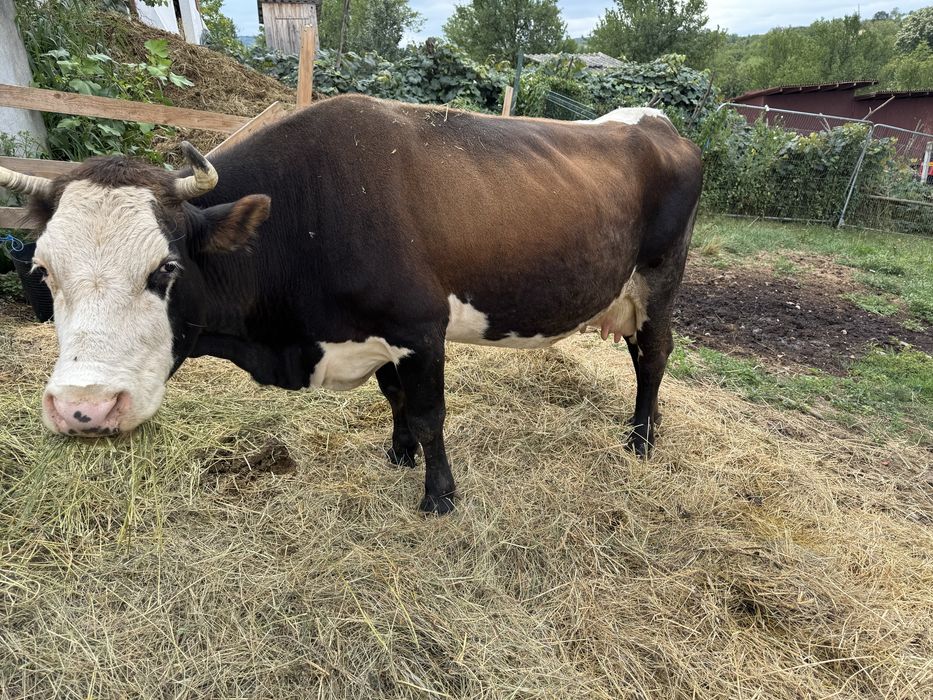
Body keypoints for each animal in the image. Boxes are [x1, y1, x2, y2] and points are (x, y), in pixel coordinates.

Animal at [0, 94, 702, 514]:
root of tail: (653, 121)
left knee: (653, 355)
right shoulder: (377, 334)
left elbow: (429, 412)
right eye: (43, 271)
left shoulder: (421, 327)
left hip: (659, 278)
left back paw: (641, 439)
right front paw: (398, 454)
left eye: (165, 269)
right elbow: (395, 400)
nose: (84, 409)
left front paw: (438, 496)